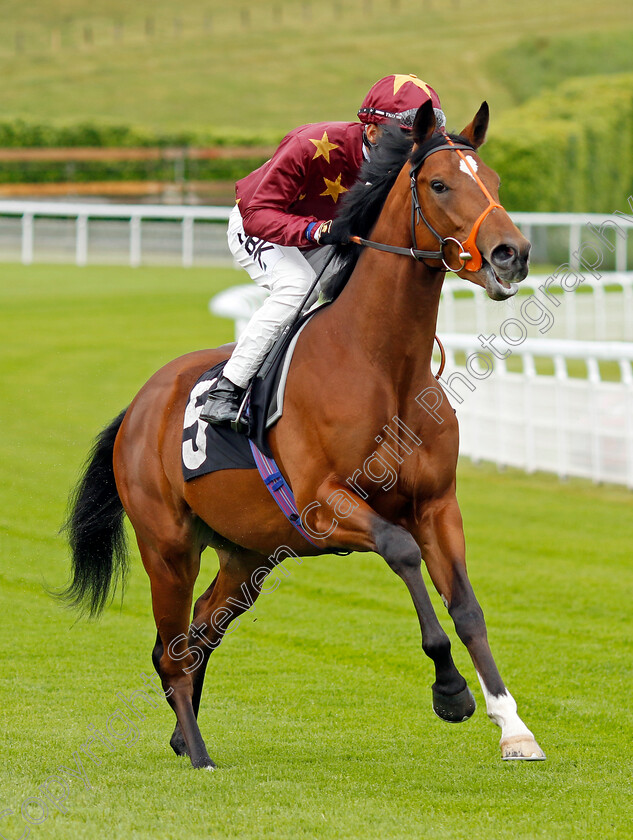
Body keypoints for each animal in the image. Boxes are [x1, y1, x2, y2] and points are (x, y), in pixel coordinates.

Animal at [63, 100, 544, 768]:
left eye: (493, 180)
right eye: (440, 184)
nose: (511, 254)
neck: (382, 363)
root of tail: (139, 405)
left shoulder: (437, 504)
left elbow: (468, 608)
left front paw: (513, 726)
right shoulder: (323, 505)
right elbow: (401, 550)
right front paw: (450, 691)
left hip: (248, 553)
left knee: (199, 631)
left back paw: (184, 738)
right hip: (167, 546)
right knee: (171, 645)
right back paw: (199, 751)